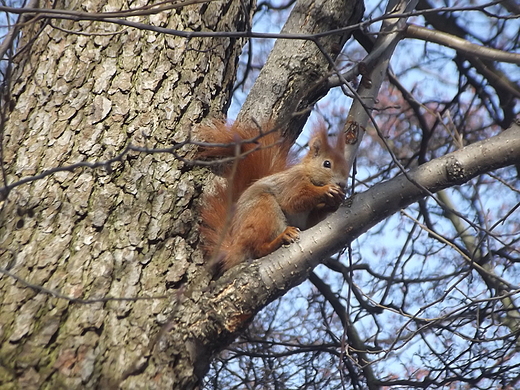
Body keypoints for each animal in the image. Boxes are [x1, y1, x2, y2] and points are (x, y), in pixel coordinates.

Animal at [199, 121, 350, 274]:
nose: (342, 184)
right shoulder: (292, 183)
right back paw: (281, 238)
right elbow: (293, 200)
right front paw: (326, 190)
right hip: (263, 210)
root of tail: (233, 249)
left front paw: (336, 202)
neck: (308, 175)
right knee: (258, 248)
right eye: (327, 164)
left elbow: (311, 221)